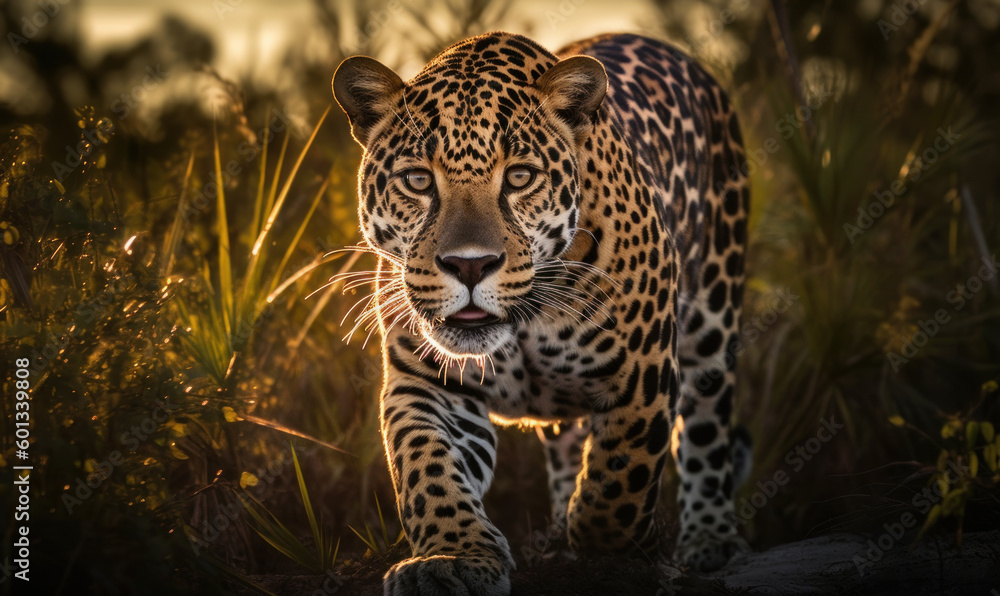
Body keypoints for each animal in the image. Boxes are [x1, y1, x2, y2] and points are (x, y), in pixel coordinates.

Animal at [332, 30, 750, 596]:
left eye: (520, 177)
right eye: (418, 180)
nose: (469, 265)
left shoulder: (643, 379)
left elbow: (619, 482)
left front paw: (617, 549)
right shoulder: (427, 383)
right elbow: (426, 466)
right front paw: (452, 559)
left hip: (713, 318)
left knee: (708, 428)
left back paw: (708, 538)